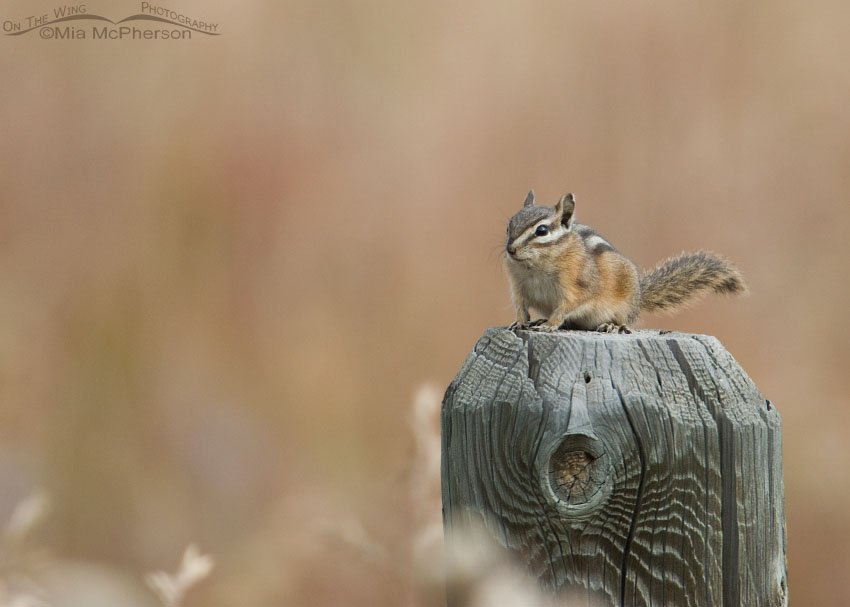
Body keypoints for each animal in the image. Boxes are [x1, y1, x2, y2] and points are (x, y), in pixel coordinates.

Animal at [504, 190, 747, 333]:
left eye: (542, 231)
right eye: (509, 225)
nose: (510, 249)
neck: (534, 267)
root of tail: (639, 297)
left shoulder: (577, 287)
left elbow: (565, 307)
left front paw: (550, 325)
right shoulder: (518, 287)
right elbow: (521, 307)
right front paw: (521, 322)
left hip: (624, 303)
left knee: (624, 321)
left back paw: (612, 325)